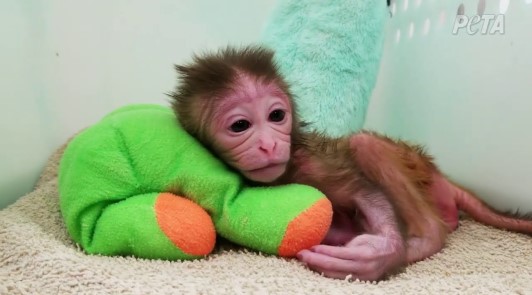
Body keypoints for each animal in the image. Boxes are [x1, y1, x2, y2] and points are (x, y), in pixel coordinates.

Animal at [170, 45, 532, 282]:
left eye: (276, 116)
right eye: (240, 126)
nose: (270, 144)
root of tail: (441, 175)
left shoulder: (310, 162)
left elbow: (362, 192)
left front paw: (379, 253)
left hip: (416, 167)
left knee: (363, 143)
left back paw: (425, 238)